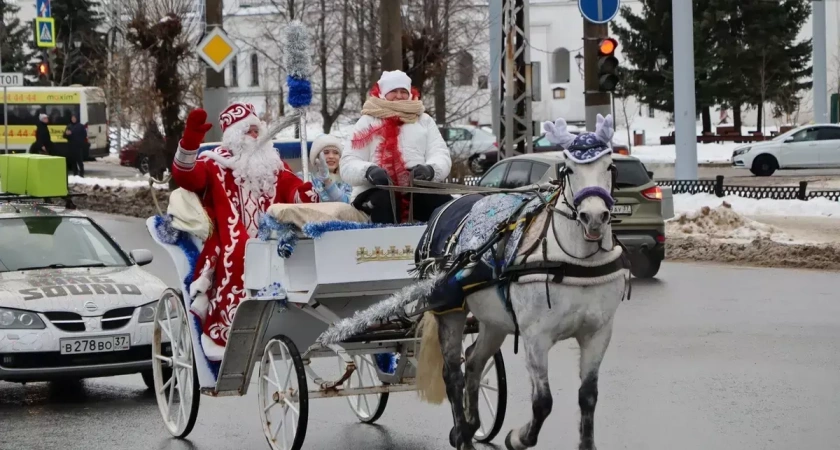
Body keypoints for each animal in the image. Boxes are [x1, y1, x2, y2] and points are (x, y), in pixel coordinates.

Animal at [416, 115, 628, 450]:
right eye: (568, 169)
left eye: (610, 166)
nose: (594, 217)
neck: (574, 260)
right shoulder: (535, 337)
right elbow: (543, 402)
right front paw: (517, 437)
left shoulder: (598, 333)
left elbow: (588, 396)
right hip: (450, 312)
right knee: (453, 374)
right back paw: (463, 434)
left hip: (494, 320)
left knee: (473, 361)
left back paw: (470, 424)